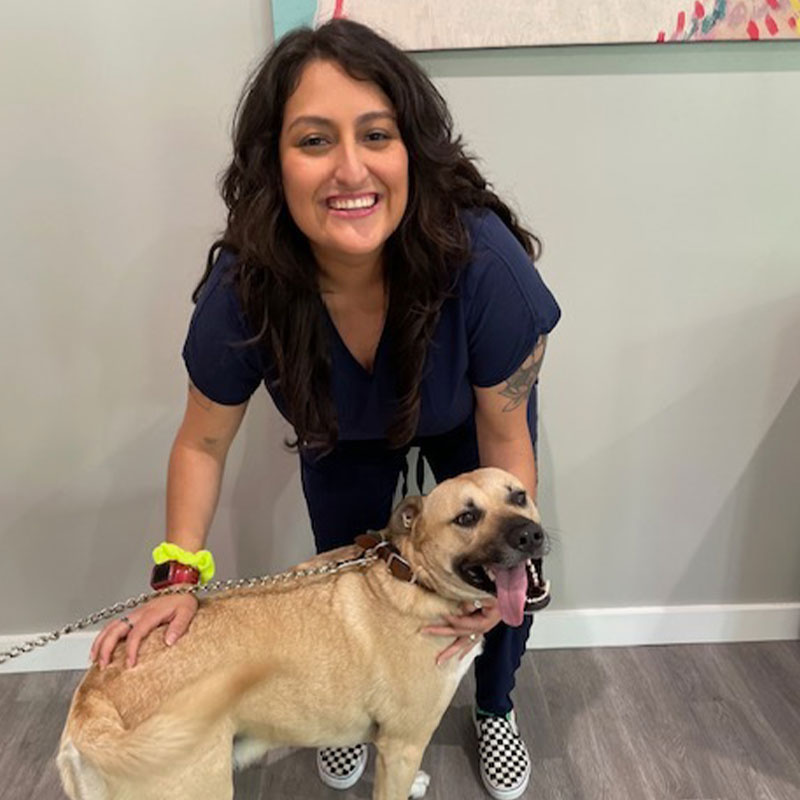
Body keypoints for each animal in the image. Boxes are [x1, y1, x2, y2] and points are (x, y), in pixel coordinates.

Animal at [54, 466, 544, 800]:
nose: (531, 536)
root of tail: (96, 703)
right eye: (466, 518)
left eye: (519, 496)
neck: (414, 576)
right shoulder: (403, 743)